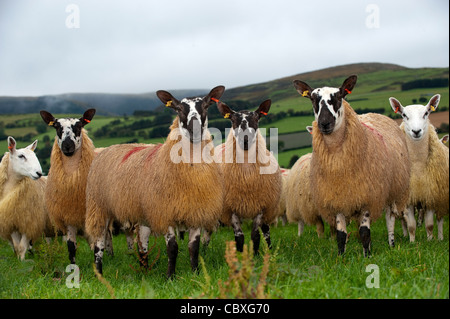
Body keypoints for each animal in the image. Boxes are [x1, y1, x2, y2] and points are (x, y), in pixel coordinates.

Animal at [39, 109, 99, 264]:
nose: (67, 145)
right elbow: (71, 246)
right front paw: (73, 266)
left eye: (79, 126)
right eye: (56, 126)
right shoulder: (67, 216)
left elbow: (95, 243)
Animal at [84, 86, 225, 278]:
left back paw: (144, 271)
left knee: (142, 242)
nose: (194, 129)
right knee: (99, 243)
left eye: (206, 105)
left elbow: (193, 248)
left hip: (143, 211)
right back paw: (99, 274)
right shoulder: (164, 212)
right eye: (178, 109)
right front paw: (170, 277)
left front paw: (196, 274)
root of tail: (106, 150)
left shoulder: (195, 210)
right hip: (98, 206)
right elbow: (172, 248)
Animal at [214, 100, 282, 255]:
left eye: (256, 119)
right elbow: (239, 236)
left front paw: (255, 254)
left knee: (266, 230)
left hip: (268, 206)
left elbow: (255, 235)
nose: (245, 140)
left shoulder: (260, 205)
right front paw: (240, 255)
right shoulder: (230, 207)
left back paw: (269, 250)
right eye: (232, 120)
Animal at [292, 75, 412, 258]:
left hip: (393, 190)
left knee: (390, 218)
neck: (338, 160)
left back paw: (391, 243)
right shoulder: (338, 198)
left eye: (339, 97)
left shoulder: (367, 197)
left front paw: (367, 256)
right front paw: (341, 257)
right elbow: (341, 234)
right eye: (312, 99)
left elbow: (364, 232)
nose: (324, 123)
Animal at [388, 94, 448, 240]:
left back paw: (440, 237)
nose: (416, 131)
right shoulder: (409, 198)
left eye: (426, 113)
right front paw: (412, 241)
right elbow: (411, 225)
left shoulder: (430, 194)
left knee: (440, 219)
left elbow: (430, 224)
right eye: (404, 115)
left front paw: (431, 240)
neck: (418, 165)